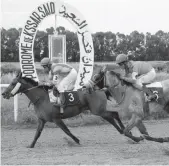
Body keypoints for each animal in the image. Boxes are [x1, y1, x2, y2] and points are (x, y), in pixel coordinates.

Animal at [1, 72, 141, 148]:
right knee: (114, 114)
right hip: (99, 110)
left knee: (112, 116)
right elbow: (37, 134)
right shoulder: (42, 120)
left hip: (98, 110)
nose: (3, 94)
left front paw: (77, 141)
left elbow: (66, 131)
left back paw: (130, 135)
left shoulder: (56, 119)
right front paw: (31, 145)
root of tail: (98, 88)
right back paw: (127, 132)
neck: (42, 98)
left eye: (13, 83)